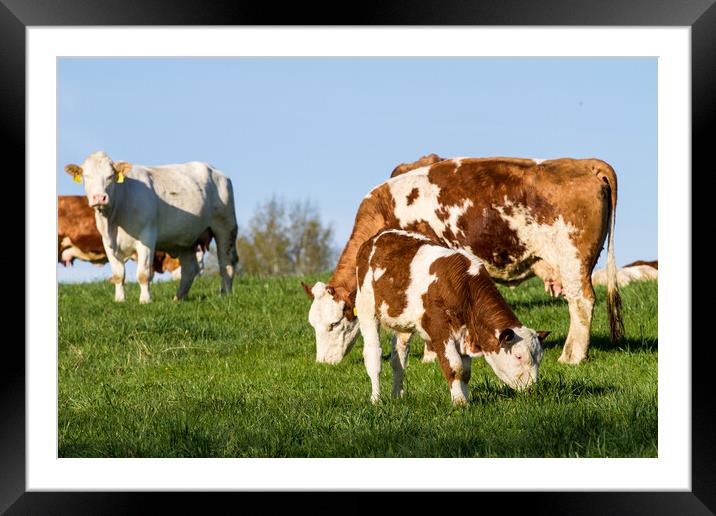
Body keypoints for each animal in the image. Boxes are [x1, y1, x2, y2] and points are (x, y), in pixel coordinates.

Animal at [65, 149, 238, 302]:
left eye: (110, 176)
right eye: (86, 176)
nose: (99, 198)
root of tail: (215, 171)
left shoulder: (146, 238)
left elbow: (143, 274)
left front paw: (145, 300)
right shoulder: (107, 243)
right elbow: (118, 274)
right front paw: (119, 300)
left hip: (225, 226)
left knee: (226, 263)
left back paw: (226, 295)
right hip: (186, 238)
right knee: (189, 270)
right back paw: (178, 298)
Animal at [304, 155, 624, 364]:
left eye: (333, 324)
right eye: (313, 325)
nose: (323, 363)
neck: (386, 210)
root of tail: (584, 163)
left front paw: (429, 356)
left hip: (573, 260)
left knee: (581, 303)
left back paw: (572, 357)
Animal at [354, 228, 548, 406]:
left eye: (539, 358)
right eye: (518, 356)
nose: (531, 389)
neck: (463, 288)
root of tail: (377, 236)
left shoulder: (466, 333)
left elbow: (466, 372)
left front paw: (466, 399)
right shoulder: (439, 329)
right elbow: (455, 367)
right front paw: (460, 402)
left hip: (402, 323)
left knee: (398, 358)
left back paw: (397, 395)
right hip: (366, 308)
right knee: (373, 355)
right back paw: (376, 399)